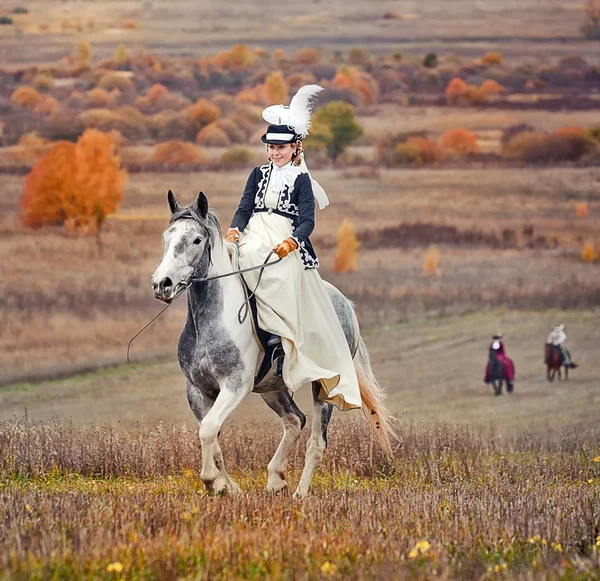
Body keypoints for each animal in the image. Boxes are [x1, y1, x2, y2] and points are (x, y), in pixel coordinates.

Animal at [150, 191, 394, 498]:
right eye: (166, 237)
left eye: (196, 239)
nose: (162, 284)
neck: (213, 320)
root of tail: (344, 303)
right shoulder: (197, 390)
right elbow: (213, 437)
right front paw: (228, 488)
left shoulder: (234, 386)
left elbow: (208, 429)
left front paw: (212, 481)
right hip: (272, 388)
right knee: (294, 420)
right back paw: (276, 478)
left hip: (325, 387)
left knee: (317, 441)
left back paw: (299, 494)